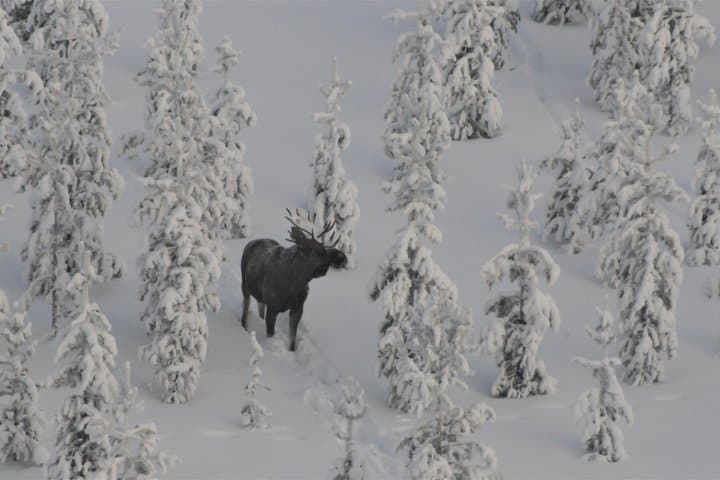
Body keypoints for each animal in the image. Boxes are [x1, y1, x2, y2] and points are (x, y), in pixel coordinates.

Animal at [240, 210, 348, 351]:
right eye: (319, 251)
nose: (342, 257)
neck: (294, 283)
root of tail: (251, 243)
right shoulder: (273, 306)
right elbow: (270, 333)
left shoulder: (298, 307)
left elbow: (292, 339)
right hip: (245, 285)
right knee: (245, 308)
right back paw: (243, 325)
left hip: (261, 297)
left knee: (260, 308)